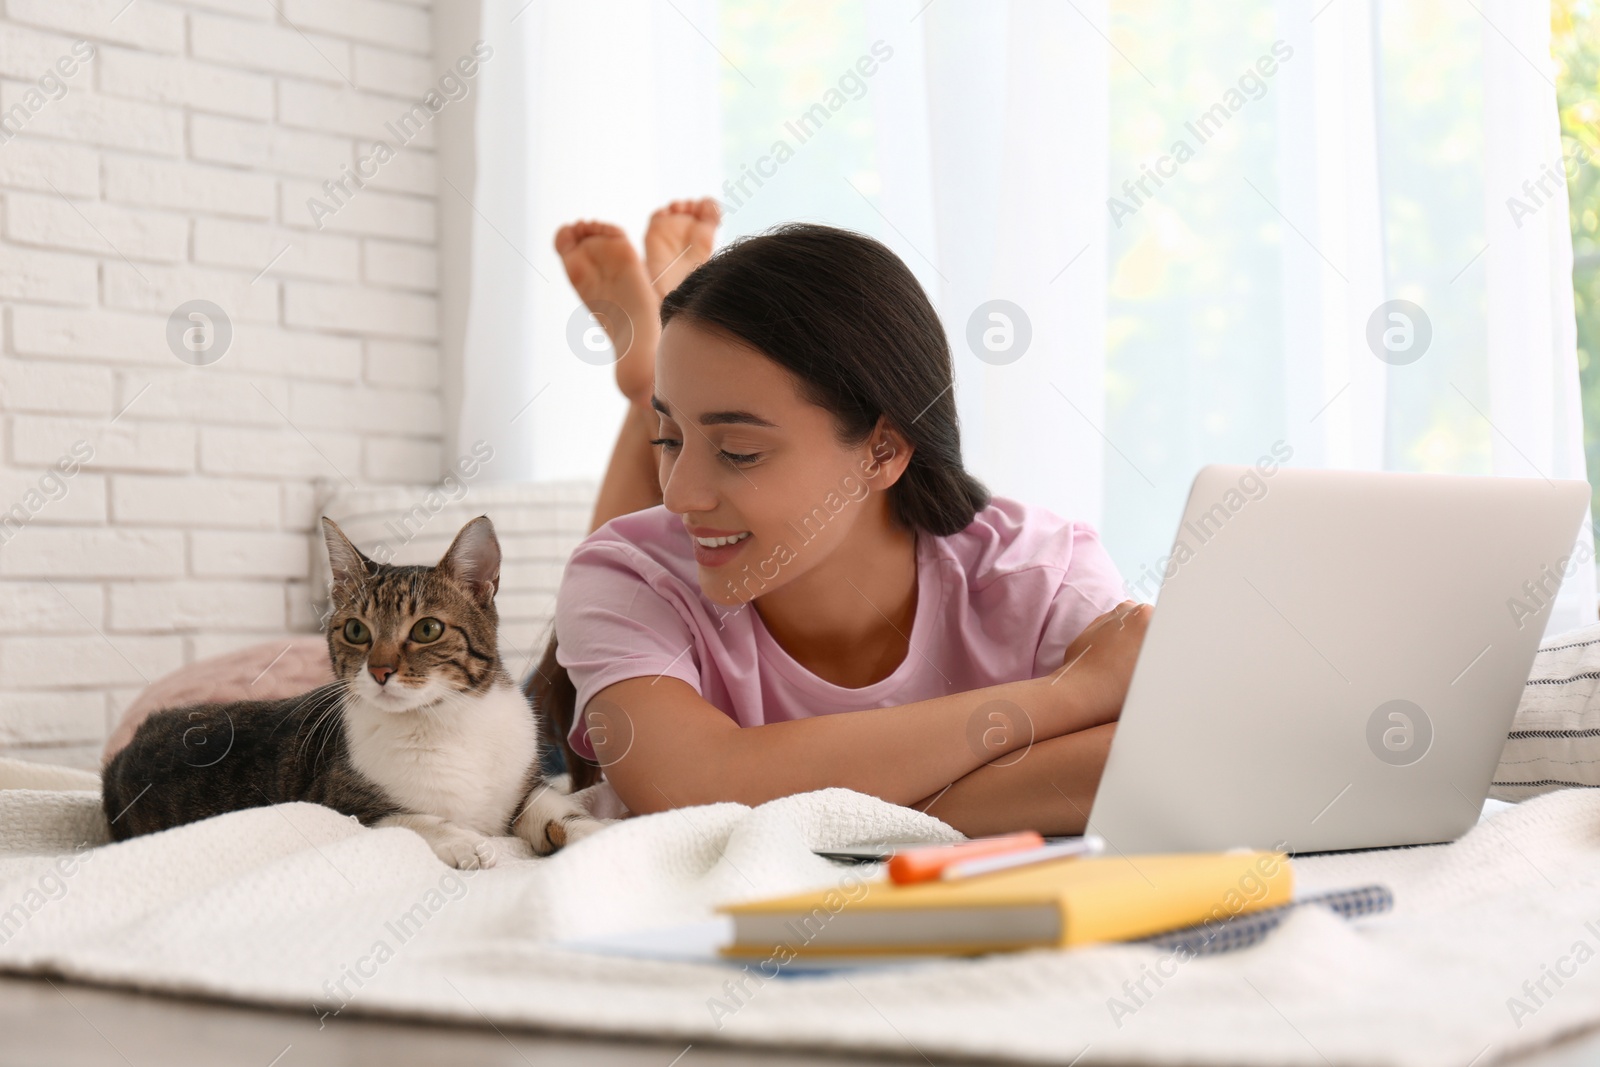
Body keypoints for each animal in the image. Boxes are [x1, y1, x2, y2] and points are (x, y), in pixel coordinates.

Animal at [100, 515, 601, 870]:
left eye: (428, 629)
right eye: (356, 630)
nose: (379, 670)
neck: (444, 721)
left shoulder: (523, 783)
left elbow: (553, 807)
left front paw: (597, 833)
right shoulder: (337, 800)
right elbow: (406, 818)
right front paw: (464, 841)